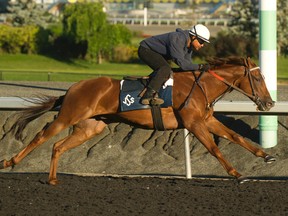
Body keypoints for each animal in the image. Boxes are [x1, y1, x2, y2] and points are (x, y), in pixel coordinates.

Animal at [0, 56, 276, 185]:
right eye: (258, 78)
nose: (270, 103)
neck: (202, 86)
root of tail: (72, 88)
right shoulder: (194, 123)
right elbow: (214, 149)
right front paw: (237, 174)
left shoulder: (206, 120)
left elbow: (235, 136)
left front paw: (266, 156)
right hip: (68, 116)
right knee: (41, 136)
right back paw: (9, 161)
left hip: (90, 127)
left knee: (58, 146)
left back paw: (52, 178)